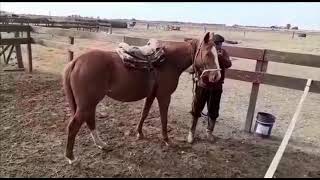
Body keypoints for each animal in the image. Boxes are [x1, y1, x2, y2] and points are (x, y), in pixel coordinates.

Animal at [63, 31, 221, 164]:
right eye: (208, 53)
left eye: (217, 53)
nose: (217, 76)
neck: (169, 61)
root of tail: (76, 61)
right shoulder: (164, 96)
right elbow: (164, 118)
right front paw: (166, 140)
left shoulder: (151, 95)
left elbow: (144, 113)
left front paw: (139, 133)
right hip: (87, 104)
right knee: (74, 126)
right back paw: (71, 157)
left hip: (90, 103)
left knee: (89, 120)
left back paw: (101, 145)